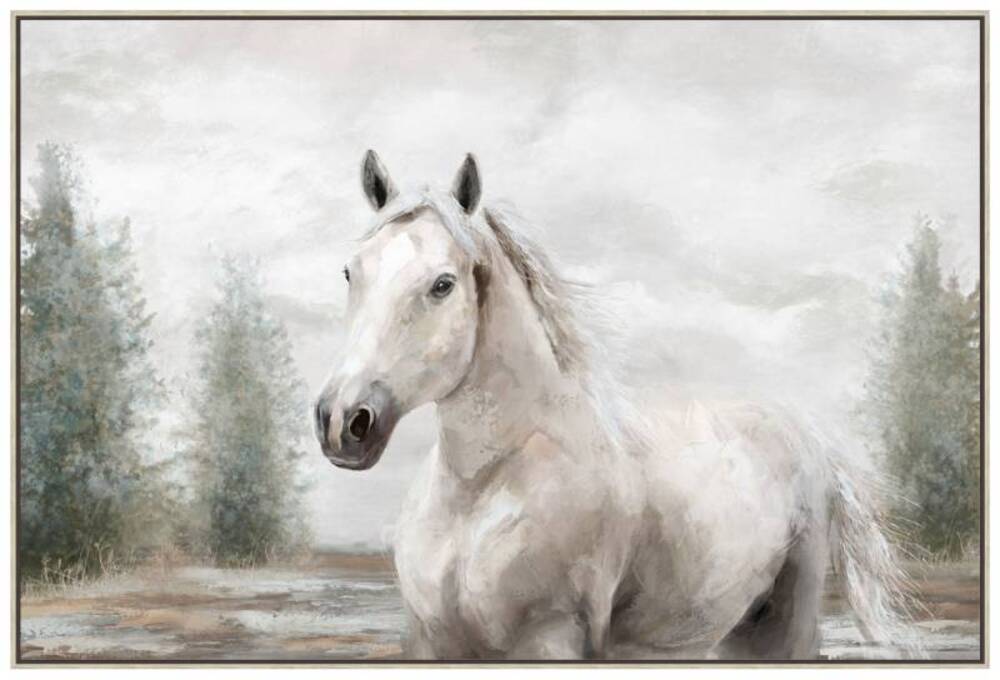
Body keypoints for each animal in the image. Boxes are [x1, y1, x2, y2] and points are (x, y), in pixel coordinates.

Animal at [313, 150, 918, 660]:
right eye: (351, 272)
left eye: (442, 284)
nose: (343, 421)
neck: (481, 489)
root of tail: (806, 432)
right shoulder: (430, 641)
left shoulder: (551, 638)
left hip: (786, 624)